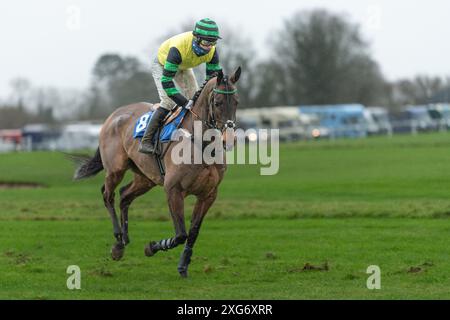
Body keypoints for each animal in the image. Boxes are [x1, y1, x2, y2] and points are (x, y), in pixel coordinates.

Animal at [73, 68, 241, 278]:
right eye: (217, 103)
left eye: (236, 102)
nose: (230, 139)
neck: (200, 144)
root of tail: (113, 115)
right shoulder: (173, 190)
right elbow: (181, 234)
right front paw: (151, 247)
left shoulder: (208, 194)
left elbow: (193, 232)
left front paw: (183, 265)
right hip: (115, 170)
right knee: (107, 195)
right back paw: (118, 242)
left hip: (146, 177)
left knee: (124, 196)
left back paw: (125, 239)